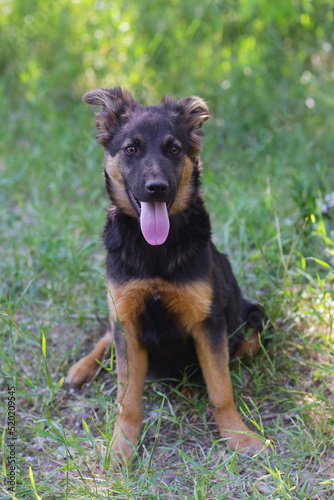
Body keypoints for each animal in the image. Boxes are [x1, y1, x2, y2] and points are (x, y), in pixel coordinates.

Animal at [66, 86, 268, 464]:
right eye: (131, 149)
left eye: (174, 149)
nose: (156, 187)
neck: (155, 251)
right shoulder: (127, 320)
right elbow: (127, 398)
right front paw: (121, 447)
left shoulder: (209, 322)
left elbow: (222, 390)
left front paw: (239, 437)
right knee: (106, 333)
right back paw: (81, 367)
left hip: (254, 319)